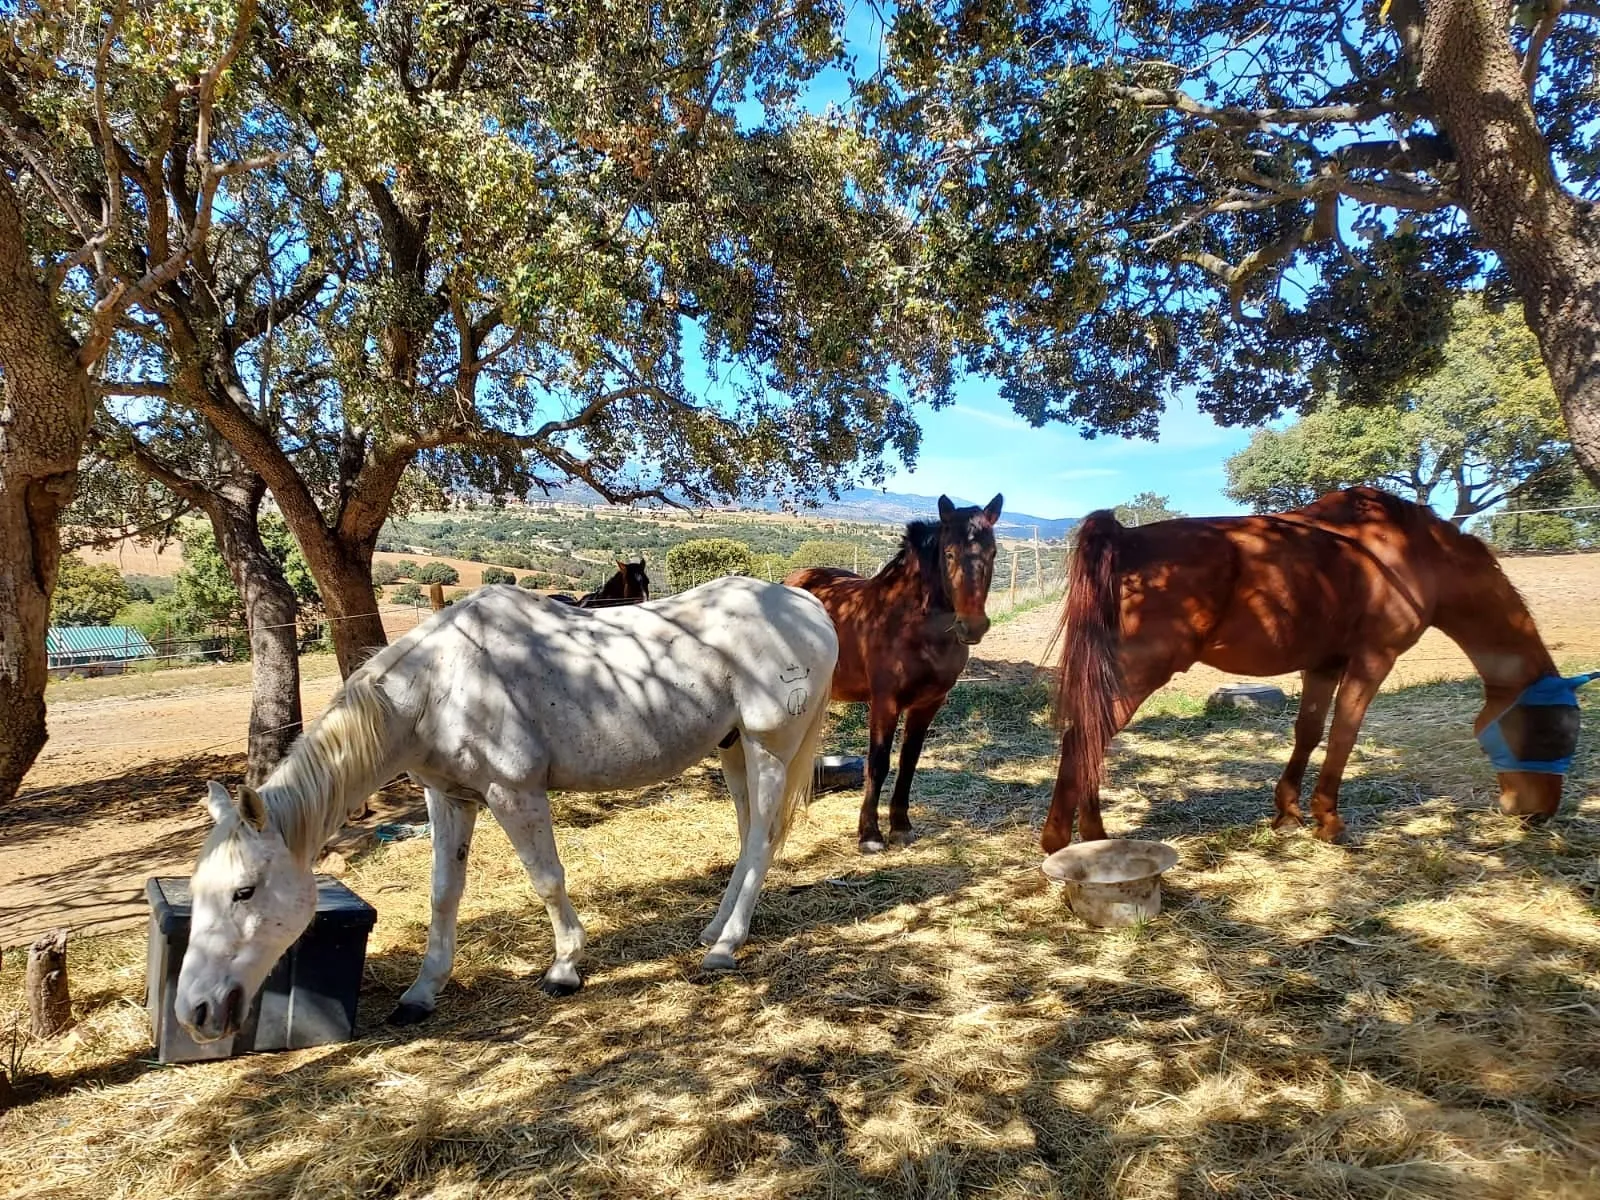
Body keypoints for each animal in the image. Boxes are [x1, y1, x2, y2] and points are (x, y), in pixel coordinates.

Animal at [174, 576, 837, 1042]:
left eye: (243, 891)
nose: (194, 1011)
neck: (437, 684)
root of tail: (809, 607)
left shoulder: (513, 792)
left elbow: (546, 879)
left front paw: (565, 968)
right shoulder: (448, 798)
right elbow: (444, 891)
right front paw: (422, 992)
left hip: (769, 746)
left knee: (762, 841)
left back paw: (724, 948)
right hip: (733, 748)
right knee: (750, 836)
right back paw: (714, 930)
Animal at [786, 494, 1002, 852]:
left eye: (993, 552)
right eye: (949, 553)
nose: (973, 626)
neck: (911, 624)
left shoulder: (928, 704)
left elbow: (909, 761)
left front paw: (900, 826)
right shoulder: (885, 702)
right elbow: (878, 762)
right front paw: (870, 835)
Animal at [1044, 486, 1579, 853]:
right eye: (1555, 734)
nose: (1539, 814)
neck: (1412, 554)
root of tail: (1124, 538)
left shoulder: (1322, 664)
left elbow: (1308, 731)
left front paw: (1289, 812)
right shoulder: (1373, 659)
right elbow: (1344, 733)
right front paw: (1329, 820)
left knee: (1087, 741)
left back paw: (1091, 836)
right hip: (1135, 675)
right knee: (1083, 740)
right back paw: (1067, 839)